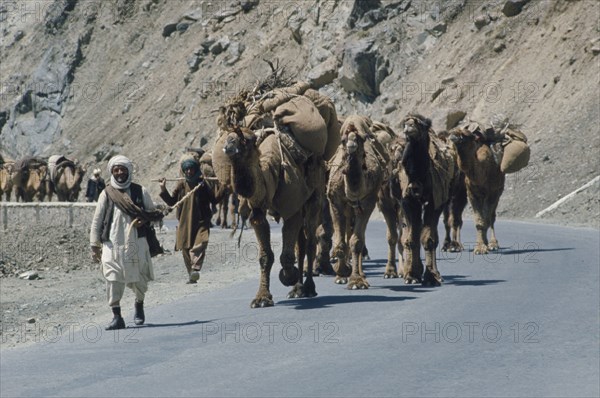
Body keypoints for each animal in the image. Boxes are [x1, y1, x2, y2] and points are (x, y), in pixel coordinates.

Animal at [326, 116, 396, 290]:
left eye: (361, 139)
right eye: (343, 140)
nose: (351, 146)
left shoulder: (368, 201)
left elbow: (356, 241)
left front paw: (356, 281)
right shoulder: (334, 201)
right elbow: (340, 242)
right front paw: (341, 273)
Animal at [396, 115, 462, 286]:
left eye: (421, 124)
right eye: (405, 123)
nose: (409, 126)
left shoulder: (435, 202)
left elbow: (429, 238)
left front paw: (432, 276)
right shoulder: (407, 201)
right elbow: (412, 237)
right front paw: (411, 275)